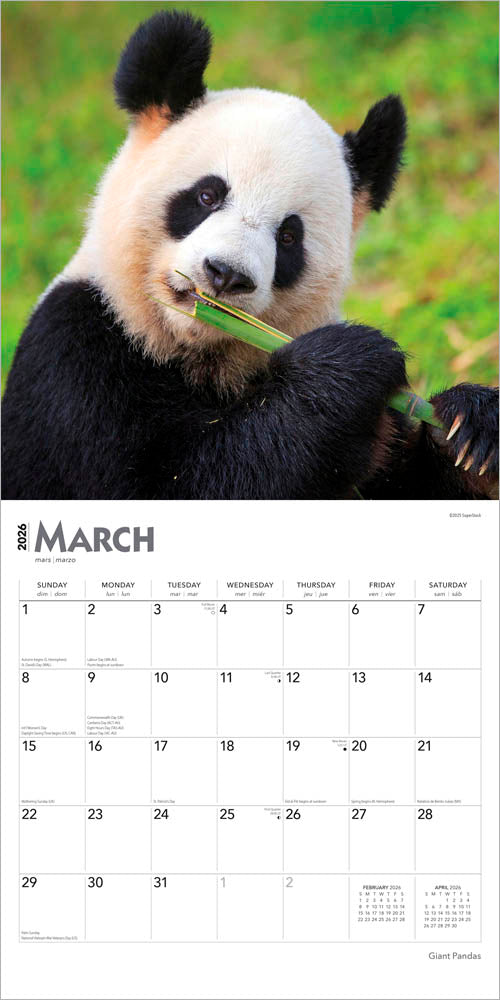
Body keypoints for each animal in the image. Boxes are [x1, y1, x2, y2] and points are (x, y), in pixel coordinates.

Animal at [2, 9, 498, 500]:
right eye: (207, 195)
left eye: (289, 237)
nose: (224, 275)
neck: (196, 358)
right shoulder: (76, 365)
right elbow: (185, 485)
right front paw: (349, 367)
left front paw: (468, 429)